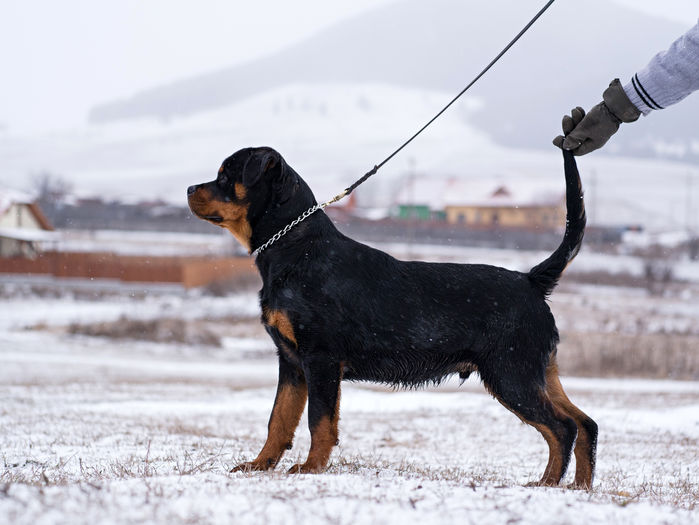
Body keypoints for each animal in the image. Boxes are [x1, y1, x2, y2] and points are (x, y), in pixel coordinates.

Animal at [189, 144, 600, 488]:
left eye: (226, 175)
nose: (190, 187)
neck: (296, 248)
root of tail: (531, 280)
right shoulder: (291, 362)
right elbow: (279, 419)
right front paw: (259, 465)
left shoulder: (320, 359)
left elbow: (319, 421)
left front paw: (311, 469)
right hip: (540, 371)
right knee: (585, 423)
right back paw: (579, 487)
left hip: (512, 373)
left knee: (562, 427)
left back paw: (547, 484)